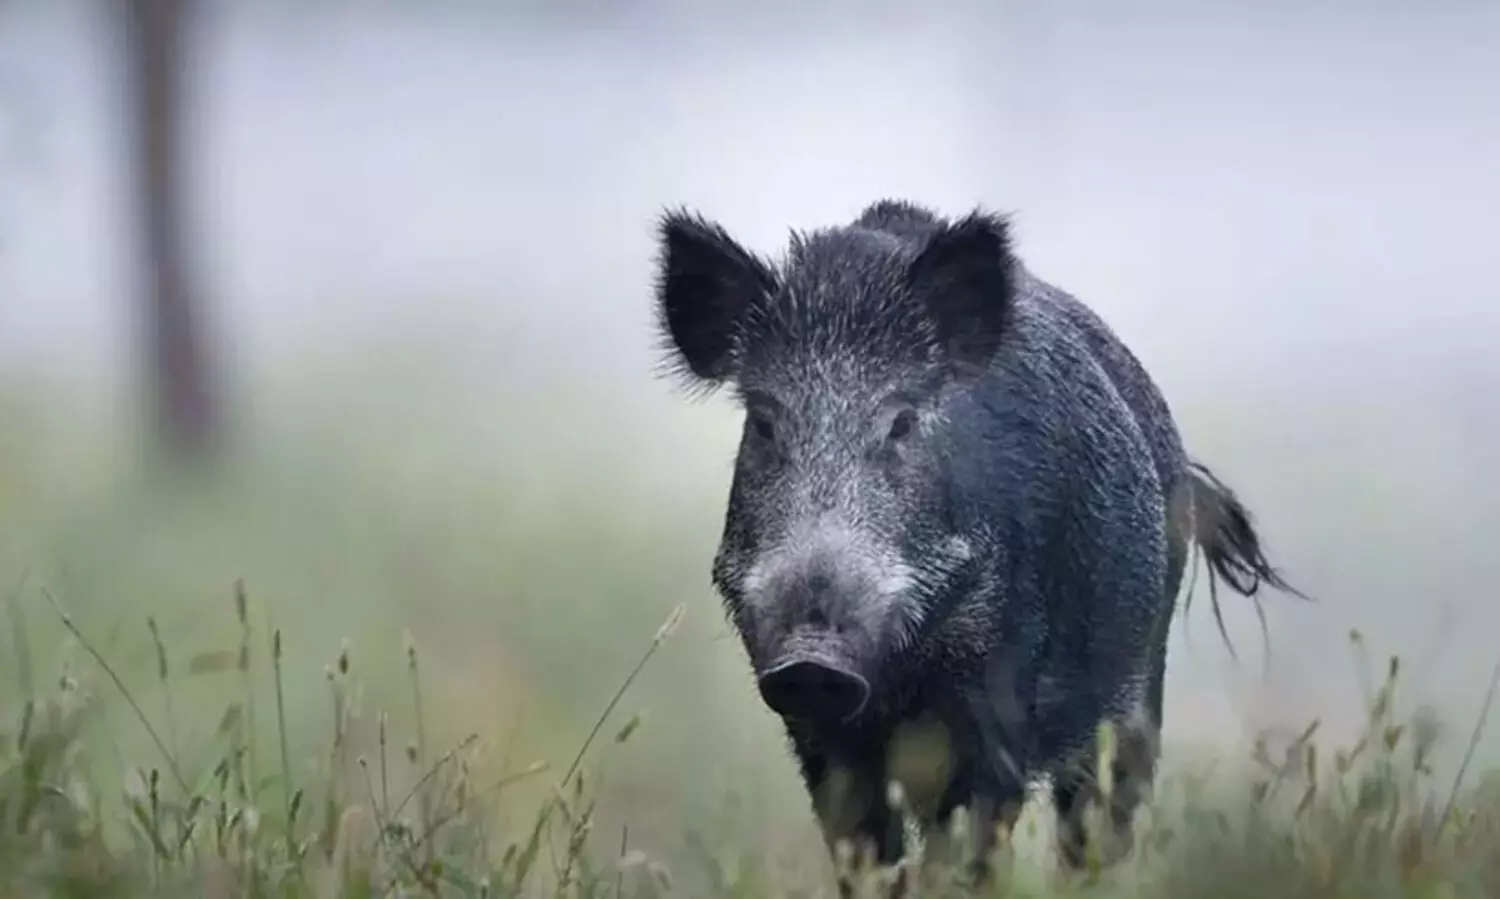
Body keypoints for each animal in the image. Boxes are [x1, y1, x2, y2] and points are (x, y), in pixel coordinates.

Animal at [650, 198, 1304, 892]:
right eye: (764, 423)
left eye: (902, 422)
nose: (812, 657)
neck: (903, 672)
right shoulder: (818, 736)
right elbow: (865, 854)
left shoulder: (1003, 701)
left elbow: (967, 844)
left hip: (1136, 693)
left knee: (1096, 829)